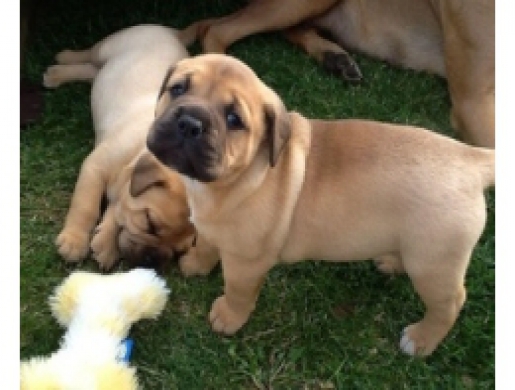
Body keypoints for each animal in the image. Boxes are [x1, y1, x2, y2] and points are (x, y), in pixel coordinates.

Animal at [42, 24, 198, 272]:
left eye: (178, 253)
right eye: (150, 225)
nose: (153, 261)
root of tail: (173, 33)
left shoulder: (123, 191)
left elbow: (117, 211)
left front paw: (106, 243)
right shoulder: (95, 168)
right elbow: (86, 206)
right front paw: (75, 240)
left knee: (92, 72)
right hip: (110, 45)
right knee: (88, 56)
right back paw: (61, 63)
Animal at [144, 54, 496, 356]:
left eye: (234, 120)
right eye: (177, 88)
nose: (190, 123)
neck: (235, 178)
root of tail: (471, 159)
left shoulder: (246, 263)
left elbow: (238, 292)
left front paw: (228, 318)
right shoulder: (209, 227)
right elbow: (205, 244)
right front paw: (195, 264)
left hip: (433, 264)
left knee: (450, 303)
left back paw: (422, 339)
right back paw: (392, 262)